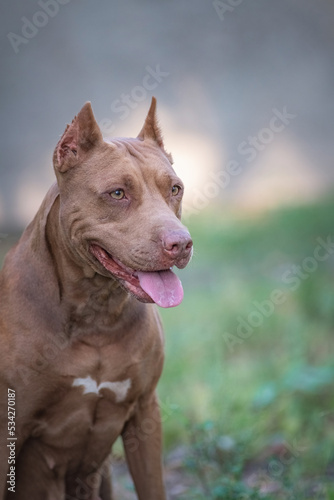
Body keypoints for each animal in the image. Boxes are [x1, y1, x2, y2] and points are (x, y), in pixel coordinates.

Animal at [0, 98, 192, 500]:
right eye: (117, 193)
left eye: (175, 189)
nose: (181, 243)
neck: (95, 311)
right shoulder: (5, 427)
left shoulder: (144, 413)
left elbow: (152, 486)